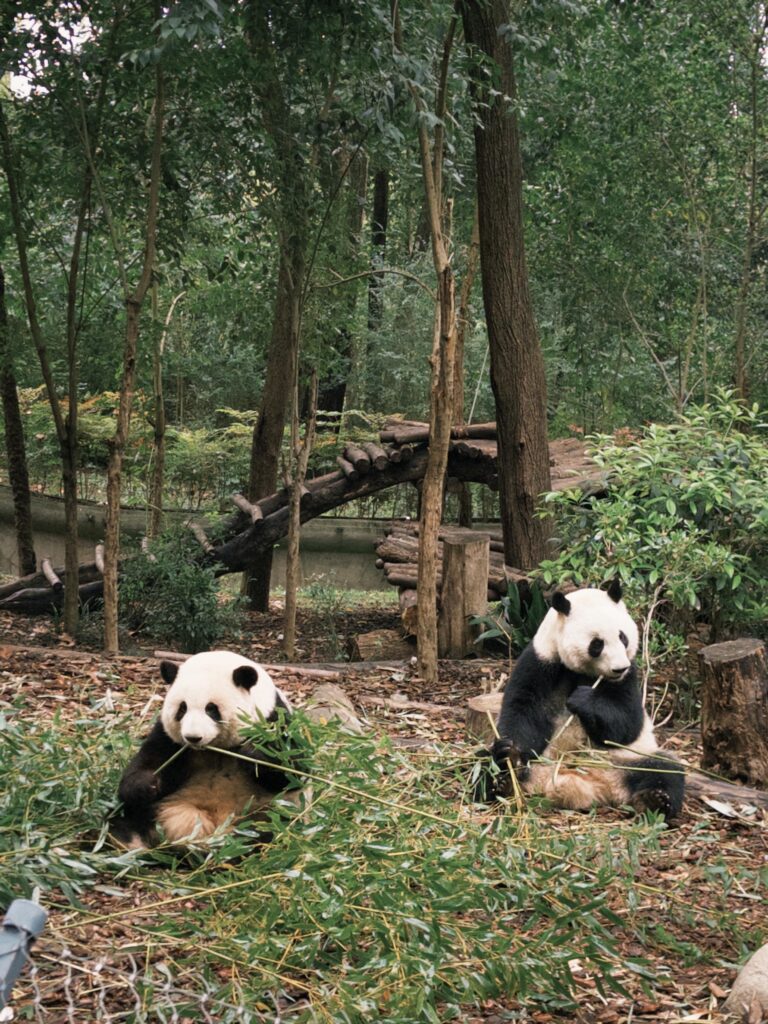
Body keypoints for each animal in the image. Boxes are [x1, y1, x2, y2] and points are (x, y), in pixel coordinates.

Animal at [110, 650, 306, 849]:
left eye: (211, 709)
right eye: (182, 708)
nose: (193, 737)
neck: (214, 749)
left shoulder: (274, 720)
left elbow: (291, 772)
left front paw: (253, 754)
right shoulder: (168, 738)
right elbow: (147, 763)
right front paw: (148, 783)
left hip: (263, 813)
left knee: (271, 830)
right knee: (124, 817)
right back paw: (128, 842)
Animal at [488, 580, 684, 818]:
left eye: (623, 637)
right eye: (597, 644)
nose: (619, 668)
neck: (584, 671)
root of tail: (590, 786)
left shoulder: (630, 675)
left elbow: (627, 722)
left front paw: (583, 698)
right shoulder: (541, 660)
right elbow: (523, 710)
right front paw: (510, 752)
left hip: (625, 760)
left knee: (665, 768)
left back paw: (654, 800)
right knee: (486, 763)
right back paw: (505, 780)